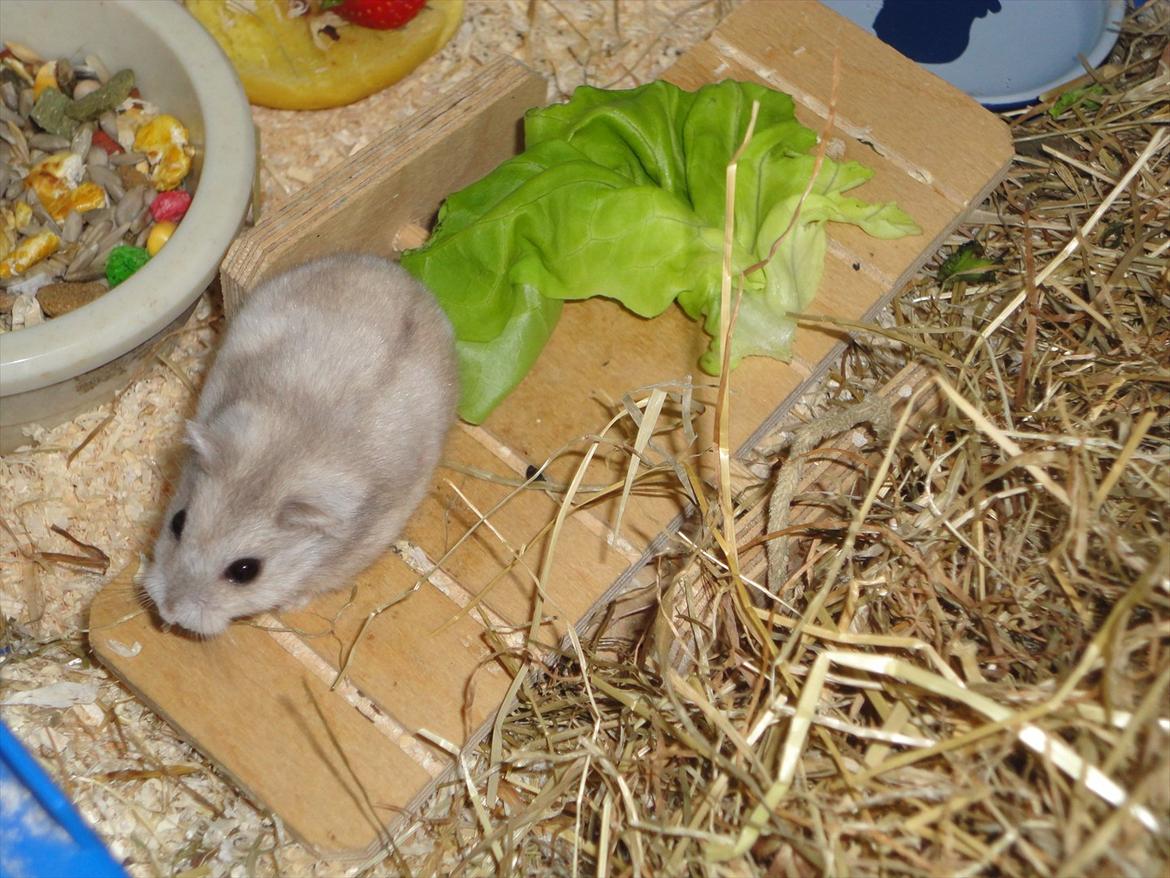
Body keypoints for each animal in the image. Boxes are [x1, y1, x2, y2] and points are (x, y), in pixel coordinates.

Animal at [142, 254, 458, 637]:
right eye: (177, 521)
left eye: (245, 571)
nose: (168, 611)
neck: (281, 463)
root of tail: (407, 279)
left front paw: (288, 605)